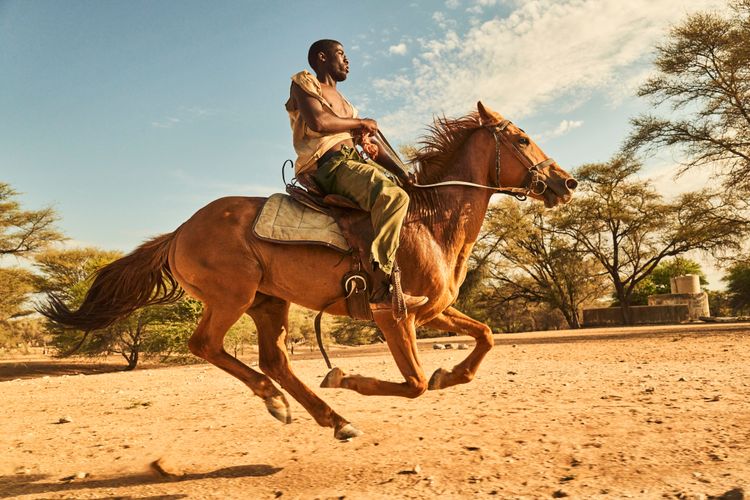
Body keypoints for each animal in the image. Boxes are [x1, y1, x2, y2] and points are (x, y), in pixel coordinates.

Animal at [44, 101, 580, 438]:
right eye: (523, 138)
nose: (567, 183)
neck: (429, 220)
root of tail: (178, 233)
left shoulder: (433, 312)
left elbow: (484, 337)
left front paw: (452, 373)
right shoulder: (394, 316)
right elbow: (415, 384)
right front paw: (346, 378)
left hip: (268, 304)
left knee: (273, 360)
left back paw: (332, 419)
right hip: (232, 298)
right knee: (206, 346)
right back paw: (281, 400)